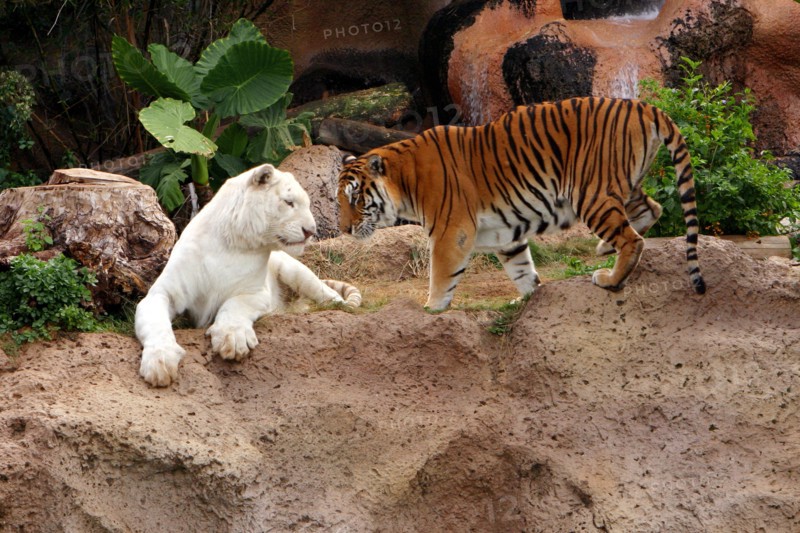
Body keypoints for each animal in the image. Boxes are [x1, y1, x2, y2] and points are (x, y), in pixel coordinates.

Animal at [337, 96, 706, 310]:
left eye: (355, 198)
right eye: (340, 201)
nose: (343, 229)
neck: (403, 180)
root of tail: (643, 106)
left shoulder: (451, 230)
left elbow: (441, 274)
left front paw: (432, 308)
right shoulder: (505, 234)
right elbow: (521, 269)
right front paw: (528, 297)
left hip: (590, 192)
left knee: (633, 239)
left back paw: (610, 278)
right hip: (622, 185)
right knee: (651, 210)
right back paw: (604, 248)